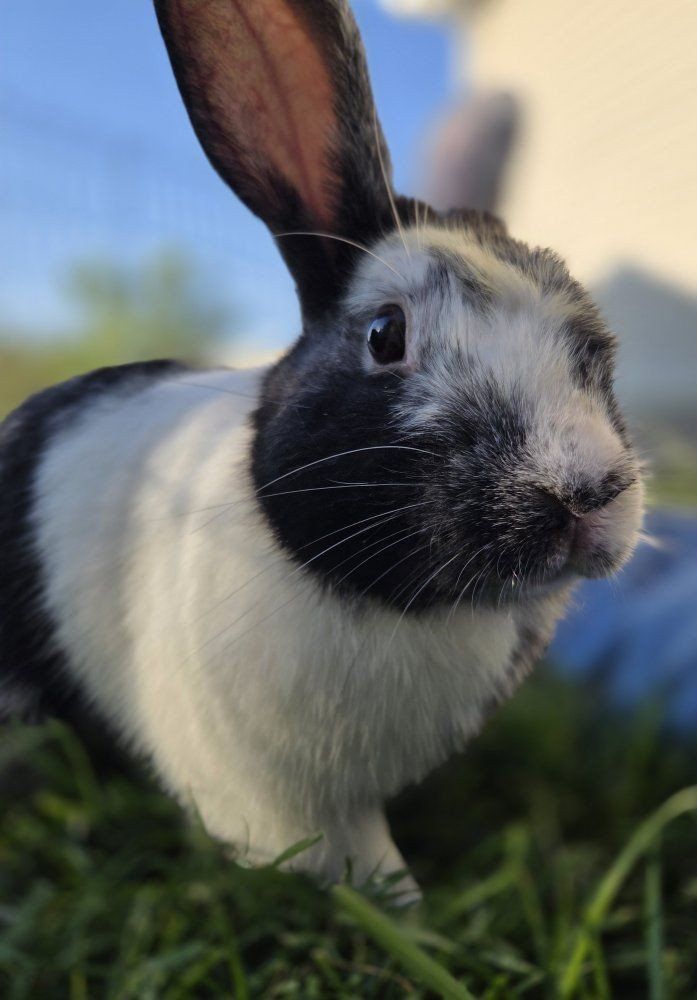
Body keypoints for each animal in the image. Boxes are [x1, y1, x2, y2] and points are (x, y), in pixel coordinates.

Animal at [0, 0, 644, 898]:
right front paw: (399, 907)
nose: (583, 491)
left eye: (594, 348)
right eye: (384, 336)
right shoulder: (263, 793)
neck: (396, 603)